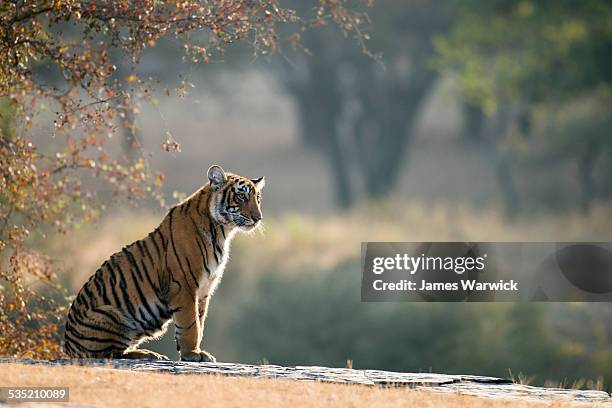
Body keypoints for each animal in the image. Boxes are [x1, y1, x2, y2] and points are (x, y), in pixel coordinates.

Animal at [63, 164, 264, 362]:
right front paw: (192, 354)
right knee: (109, 355)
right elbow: (190, 324)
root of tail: (67, 348)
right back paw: (147, 354)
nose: (258, 218)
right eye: (241, 196)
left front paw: (192, 352)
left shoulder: (205, 289)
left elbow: (199, 322)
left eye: (258, 199)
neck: (222, 231)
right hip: (110, 314)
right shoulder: (184, 286)